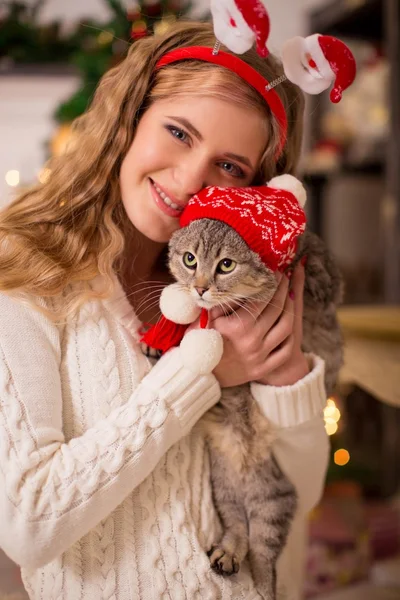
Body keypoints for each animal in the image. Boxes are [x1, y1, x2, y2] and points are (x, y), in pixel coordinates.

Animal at [155, 217, 342, 600]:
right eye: (190, 259)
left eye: (225, 265)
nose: (199, 288)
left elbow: (316, 267)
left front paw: (307, 272)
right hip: (224, 488)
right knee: (238, 527)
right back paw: (227, 553)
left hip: (273, 498)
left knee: (264, 554)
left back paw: (258, 581)